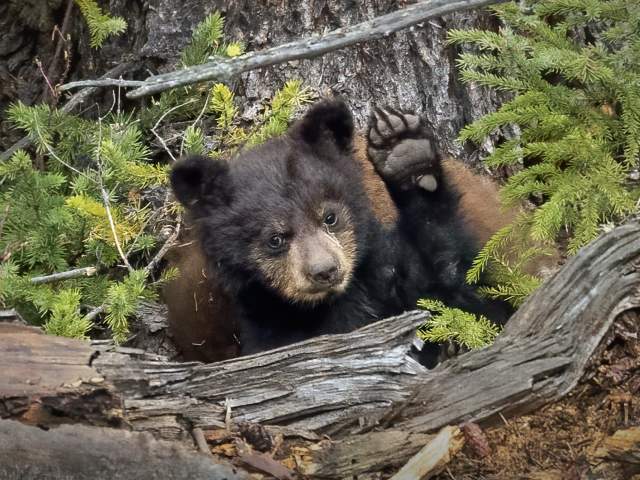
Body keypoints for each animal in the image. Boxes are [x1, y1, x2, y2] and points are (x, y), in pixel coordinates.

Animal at [168, 99, 512, 364]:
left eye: (329, 217)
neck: (333, 301)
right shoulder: (265, 326)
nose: (325, 271)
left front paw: (405, 153)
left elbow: (456, 289)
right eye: (275, 239)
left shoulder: (385, 271)